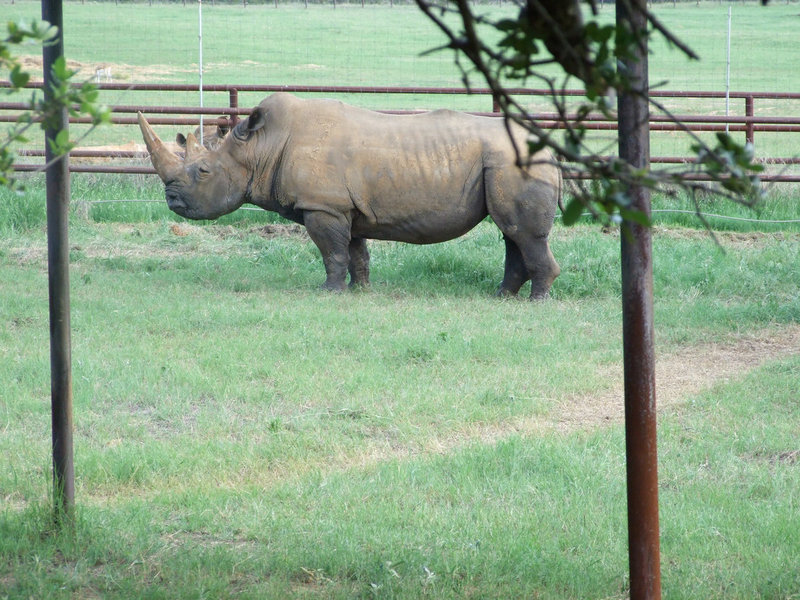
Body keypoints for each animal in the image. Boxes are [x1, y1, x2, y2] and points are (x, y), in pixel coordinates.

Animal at [138, 92, 562, 298]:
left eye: (203, 172)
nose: (172, 202)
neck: (260, 147)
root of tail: (552, 152)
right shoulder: (345, 208)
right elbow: (356, 252)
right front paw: (360, 291)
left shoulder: (323, 206)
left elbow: (332, 252)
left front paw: (328, 292)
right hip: (506, 165)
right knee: (511, 233)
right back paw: (502, 296)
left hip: (510, 164)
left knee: (522, 233)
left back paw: (536, 301)